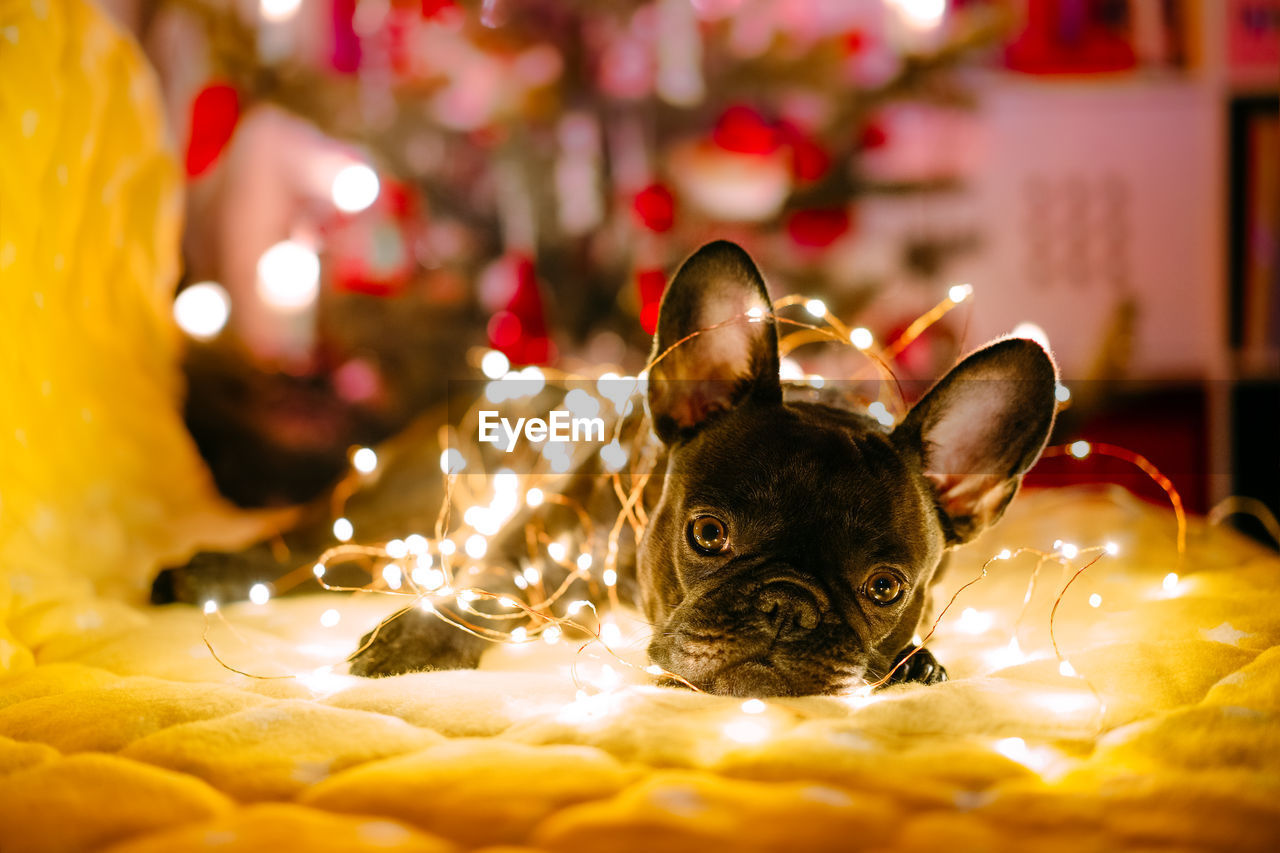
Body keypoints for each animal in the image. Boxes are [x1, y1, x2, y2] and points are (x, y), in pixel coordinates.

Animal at [345, 239, 1054, 691]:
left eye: (887, 589)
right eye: (708, 534)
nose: (787, 606)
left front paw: (915, 660)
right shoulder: (533, 538)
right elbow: (478, 585)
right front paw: (416, 642)